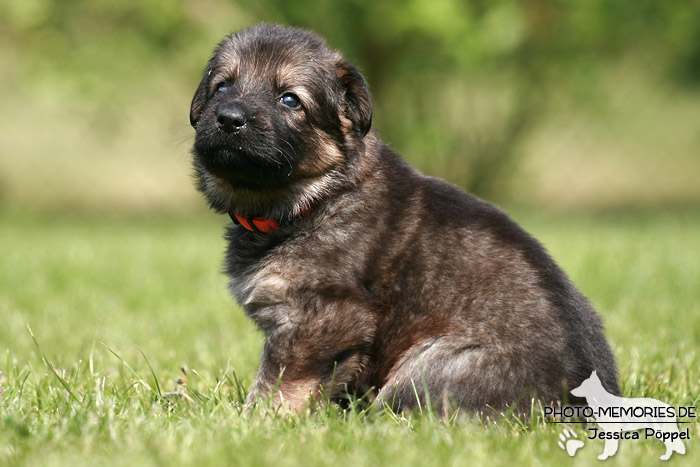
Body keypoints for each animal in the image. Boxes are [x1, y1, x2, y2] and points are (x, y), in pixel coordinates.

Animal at [190, 23, 616, 414]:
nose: (229, 118)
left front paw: (258, 422)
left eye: (290, 99)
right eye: (222, 88)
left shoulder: (322, 317)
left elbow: (280, 382)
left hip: (430, 368)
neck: (316, 198)